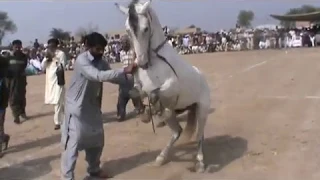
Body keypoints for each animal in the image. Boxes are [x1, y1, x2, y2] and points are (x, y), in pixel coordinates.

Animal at [116, 0, 211, 172]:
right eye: (128, 30)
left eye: (145, 28)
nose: (141, 63)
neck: (154, 61)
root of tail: (203, 78)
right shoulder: (140, 87)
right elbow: (135, 93)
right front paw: (146, 114)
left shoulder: (172, 86)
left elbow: (154, 94)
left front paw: (153, 113)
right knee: (177, 132)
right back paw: (161, 157)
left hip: (202, 109)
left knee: (200, 134)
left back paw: (200, 162)